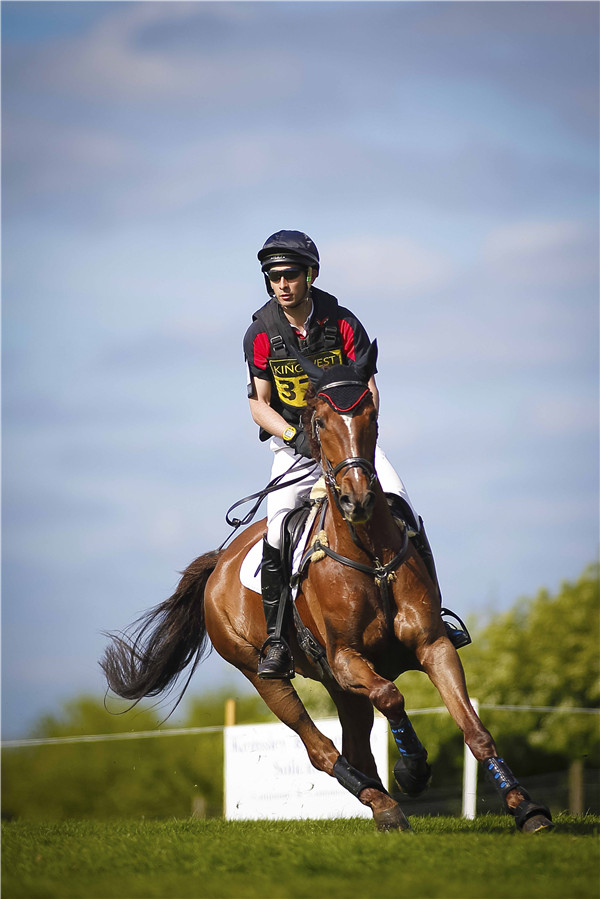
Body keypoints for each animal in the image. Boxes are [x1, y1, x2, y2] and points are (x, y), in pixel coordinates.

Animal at [102, 344, 552, 836]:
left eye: (371, 415)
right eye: (319, 422)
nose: (358, 499)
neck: (370, 556)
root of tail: (218, 565)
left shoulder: (432, 645)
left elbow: (474, 728)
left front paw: (526, 808)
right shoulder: (347, 657)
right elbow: (392, 696)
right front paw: (413, 768)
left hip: (336, 683)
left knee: (354, 746)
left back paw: (383, 806)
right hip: (265, 674)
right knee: (321, 748)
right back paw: (382, 801)